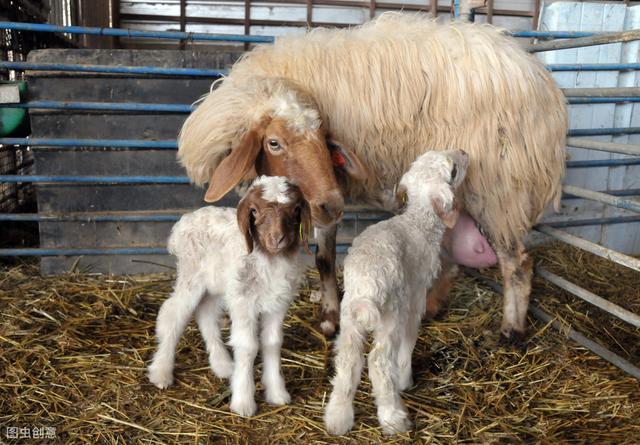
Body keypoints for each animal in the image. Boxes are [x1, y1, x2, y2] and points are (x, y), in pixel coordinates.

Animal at [149, 176, 312, 416]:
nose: (277, 239)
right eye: (254, 210)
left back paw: (223, 366)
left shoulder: (277, 304)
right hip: (191, 275)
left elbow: (272, 342)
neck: (268, 259)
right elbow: (248, 346)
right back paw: (161, 372)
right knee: (173, 314)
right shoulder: (244, 302)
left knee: (206, 314)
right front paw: (243, 403)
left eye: (295, 209)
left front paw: (277, 393)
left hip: (216, 284)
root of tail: (184, 222)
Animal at [178, 13, 568, 340]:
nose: (333, 203)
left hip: (501, 189)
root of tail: (543, 84)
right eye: (274, 143)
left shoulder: (327, 189)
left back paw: (511, 329)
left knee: (517, 263)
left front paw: (330, 316)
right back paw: (431, 307)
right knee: (453, 260)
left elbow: (325, 258)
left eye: (324, 137)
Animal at [324, 149, 470, 434]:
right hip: (390, 311)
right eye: (454, 170)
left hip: (349, 313)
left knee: (349, 360)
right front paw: (405, 379)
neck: (418, 222)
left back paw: (338, 418)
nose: (464, 152)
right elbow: (410, 337)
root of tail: (367, 283)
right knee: (378, 362)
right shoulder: (416, 295)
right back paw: (394, 417)